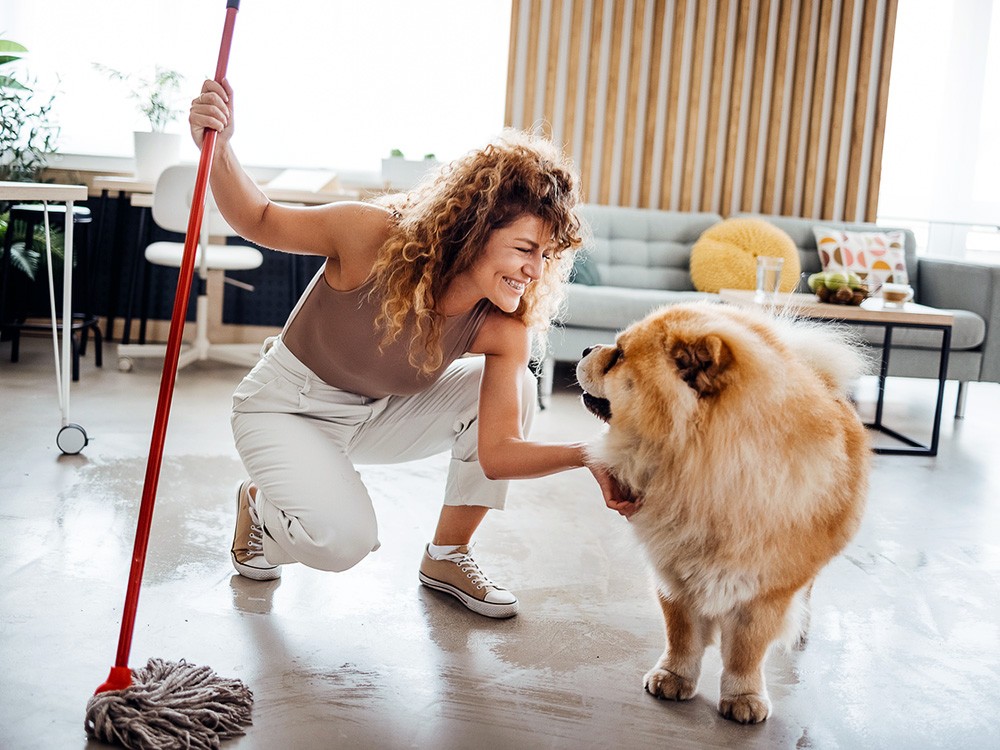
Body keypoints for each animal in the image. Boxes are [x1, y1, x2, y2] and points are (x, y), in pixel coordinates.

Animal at [576, 302, 872, 724]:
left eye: (618, 356)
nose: (586, 348)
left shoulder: (765, 593)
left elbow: (746, 651)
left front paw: (744, 698)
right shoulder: (674, 572)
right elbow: (681, 635)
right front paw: (673, 678)